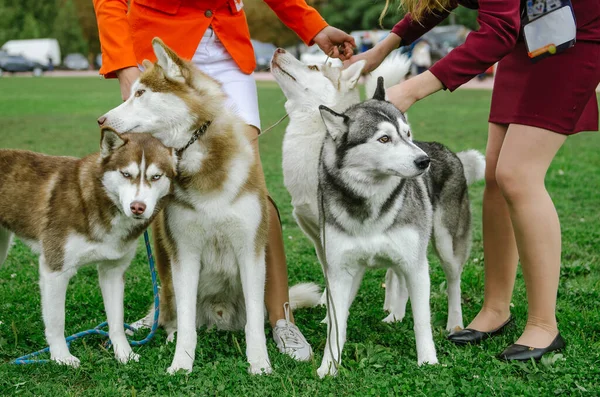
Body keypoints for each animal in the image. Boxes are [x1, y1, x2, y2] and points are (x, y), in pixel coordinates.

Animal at [0, 129, 178, 366]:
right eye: (126, 174)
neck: (100, 199)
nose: (137, 207)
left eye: (156, 177)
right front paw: (61, 357)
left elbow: (116, 321)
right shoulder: (55, 270)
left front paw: (124, 353)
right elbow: (56, 321)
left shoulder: (113, 271)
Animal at [316, 79, 486, 376]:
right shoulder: (340, 270)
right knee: (397, 275)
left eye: (407, 134)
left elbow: (422, 320)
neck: (370, 205)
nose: (424, 161)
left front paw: (428, 360)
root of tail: (447, 151)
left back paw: (454, 324)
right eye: (384, 139)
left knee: (453, 282)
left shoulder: (418, 266)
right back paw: (395, 315)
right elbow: (337, 326)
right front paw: (328, 367)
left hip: (446, 245)